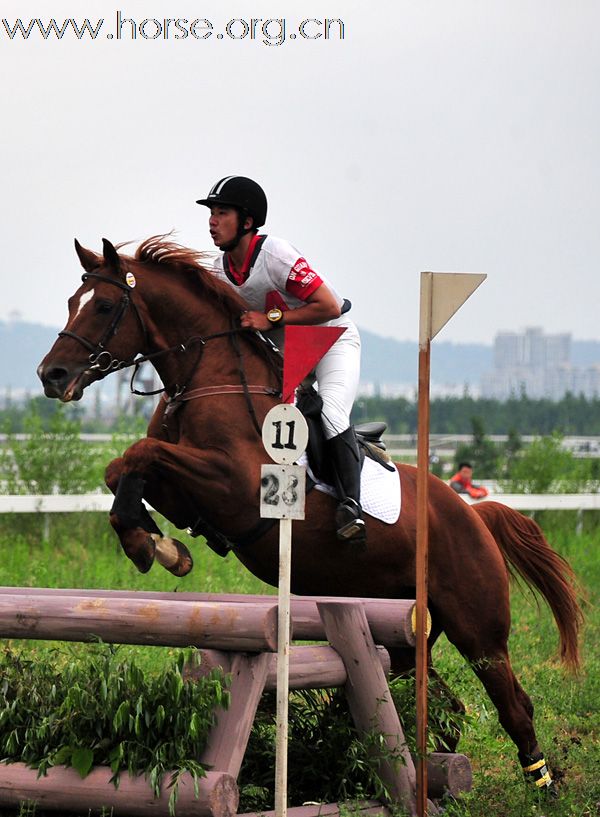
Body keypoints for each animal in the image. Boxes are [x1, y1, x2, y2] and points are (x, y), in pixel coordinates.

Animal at [37, 239, 580, 788]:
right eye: (71, 302)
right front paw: (158, 543)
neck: (209, 379)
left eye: (104, 306)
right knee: (443, 707)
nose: (50, 376)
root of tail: (473, 513)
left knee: (512, 703)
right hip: (405, 633)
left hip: (478, 627)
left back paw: (542, 784)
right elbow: (123, 467)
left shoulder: (233, 484)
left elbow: (142, 453)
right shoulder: (185, 486)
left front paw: (152, 546)